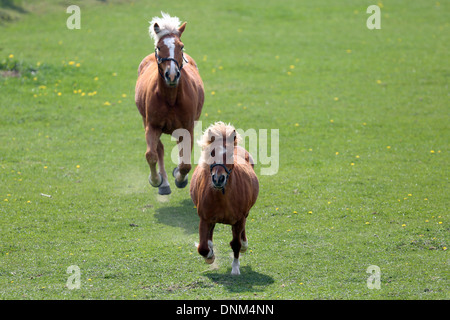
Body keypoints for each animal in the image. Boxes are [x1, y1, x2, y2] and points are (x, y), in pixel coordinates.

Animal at [134, 12, 204, 195]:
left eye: (181, 46)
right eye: (159, 47)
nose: (171, 75)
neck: (171, 98)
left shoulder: (188, 127)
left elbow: (185, 163)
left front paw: (180, 178)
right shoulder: (152, 126)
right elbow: (151, 155)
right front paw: (156, 180)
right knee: (159, 149)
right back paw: (164, 183)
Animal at [190, 122, 260, 276]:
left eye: (229, 154)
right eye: (212, 153)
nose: (218, 179)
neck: (222, 197)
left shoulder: (239, 219)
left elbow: (236, 244)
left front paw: (235, 268)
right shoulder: (204, 218)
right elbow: (202, 247)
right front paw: (210, 256)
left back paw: (244, 245)